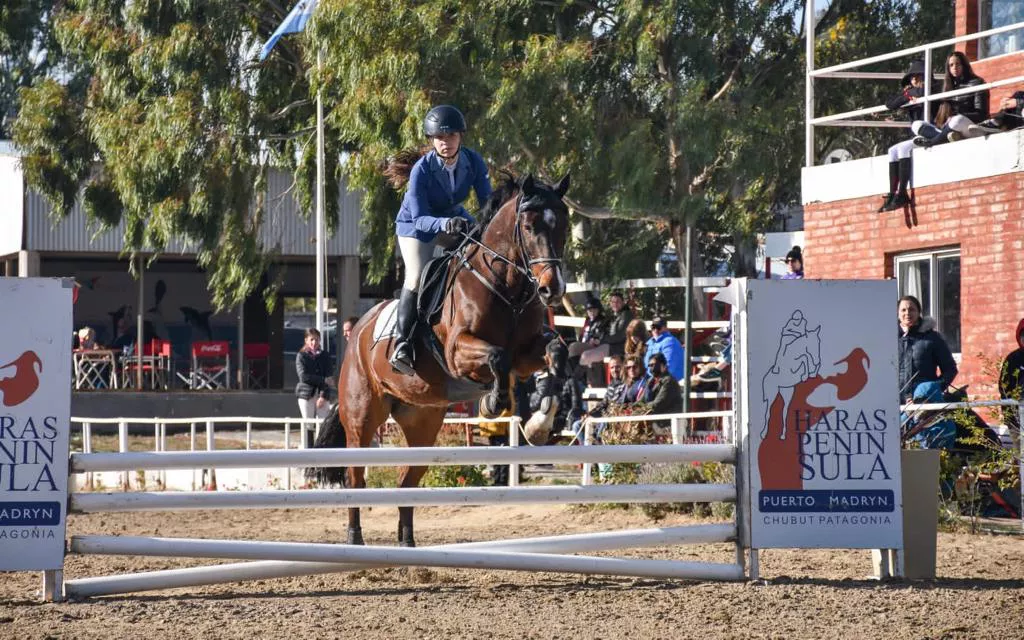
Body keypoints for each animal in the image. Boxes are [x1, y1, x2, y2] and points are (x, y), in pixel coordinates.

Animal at [307, 172, 573, 544]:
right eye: (529, 225)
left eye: (563, 224)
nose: (552, 289)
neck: (506, 288)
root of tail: (357, 332)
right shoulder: (459, 351)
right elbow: (498, 358)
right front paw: (494, 402)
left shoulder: (527, 354)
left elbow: (555, 354)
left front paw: (539, 425)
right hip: (362, 418)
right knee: (355, 478)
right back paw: (355, 540)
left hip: (423, 421)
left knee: (406, 480)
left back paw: (407, 543)